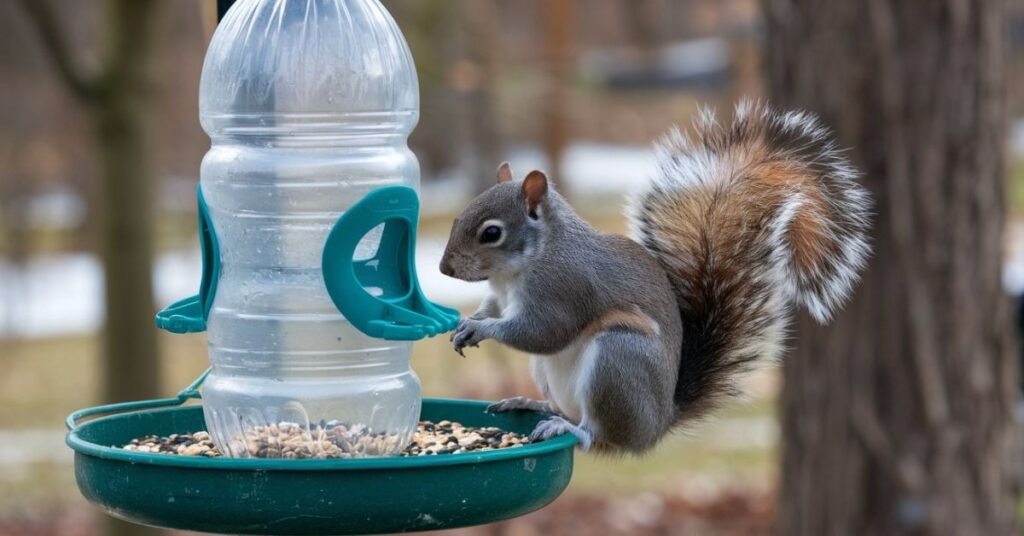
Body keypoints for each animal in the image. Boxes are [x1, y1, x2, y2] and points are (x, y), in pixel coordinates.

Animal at [440, 101, 872, 452]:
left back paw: (567, 429)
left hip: (618, 361)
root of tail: (658, 425)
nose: (445, 269)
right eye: (460, 215)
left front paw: (483, 329)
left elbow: (543, 332)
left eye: (491, 233)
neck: (519, 268)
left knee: (597, 433)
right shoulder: (502, 295)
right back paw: (530, 402)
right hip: (550, 373)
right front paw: (470, 321)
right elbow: (494, 308)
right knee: (564, 408)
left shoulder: (564, 288)